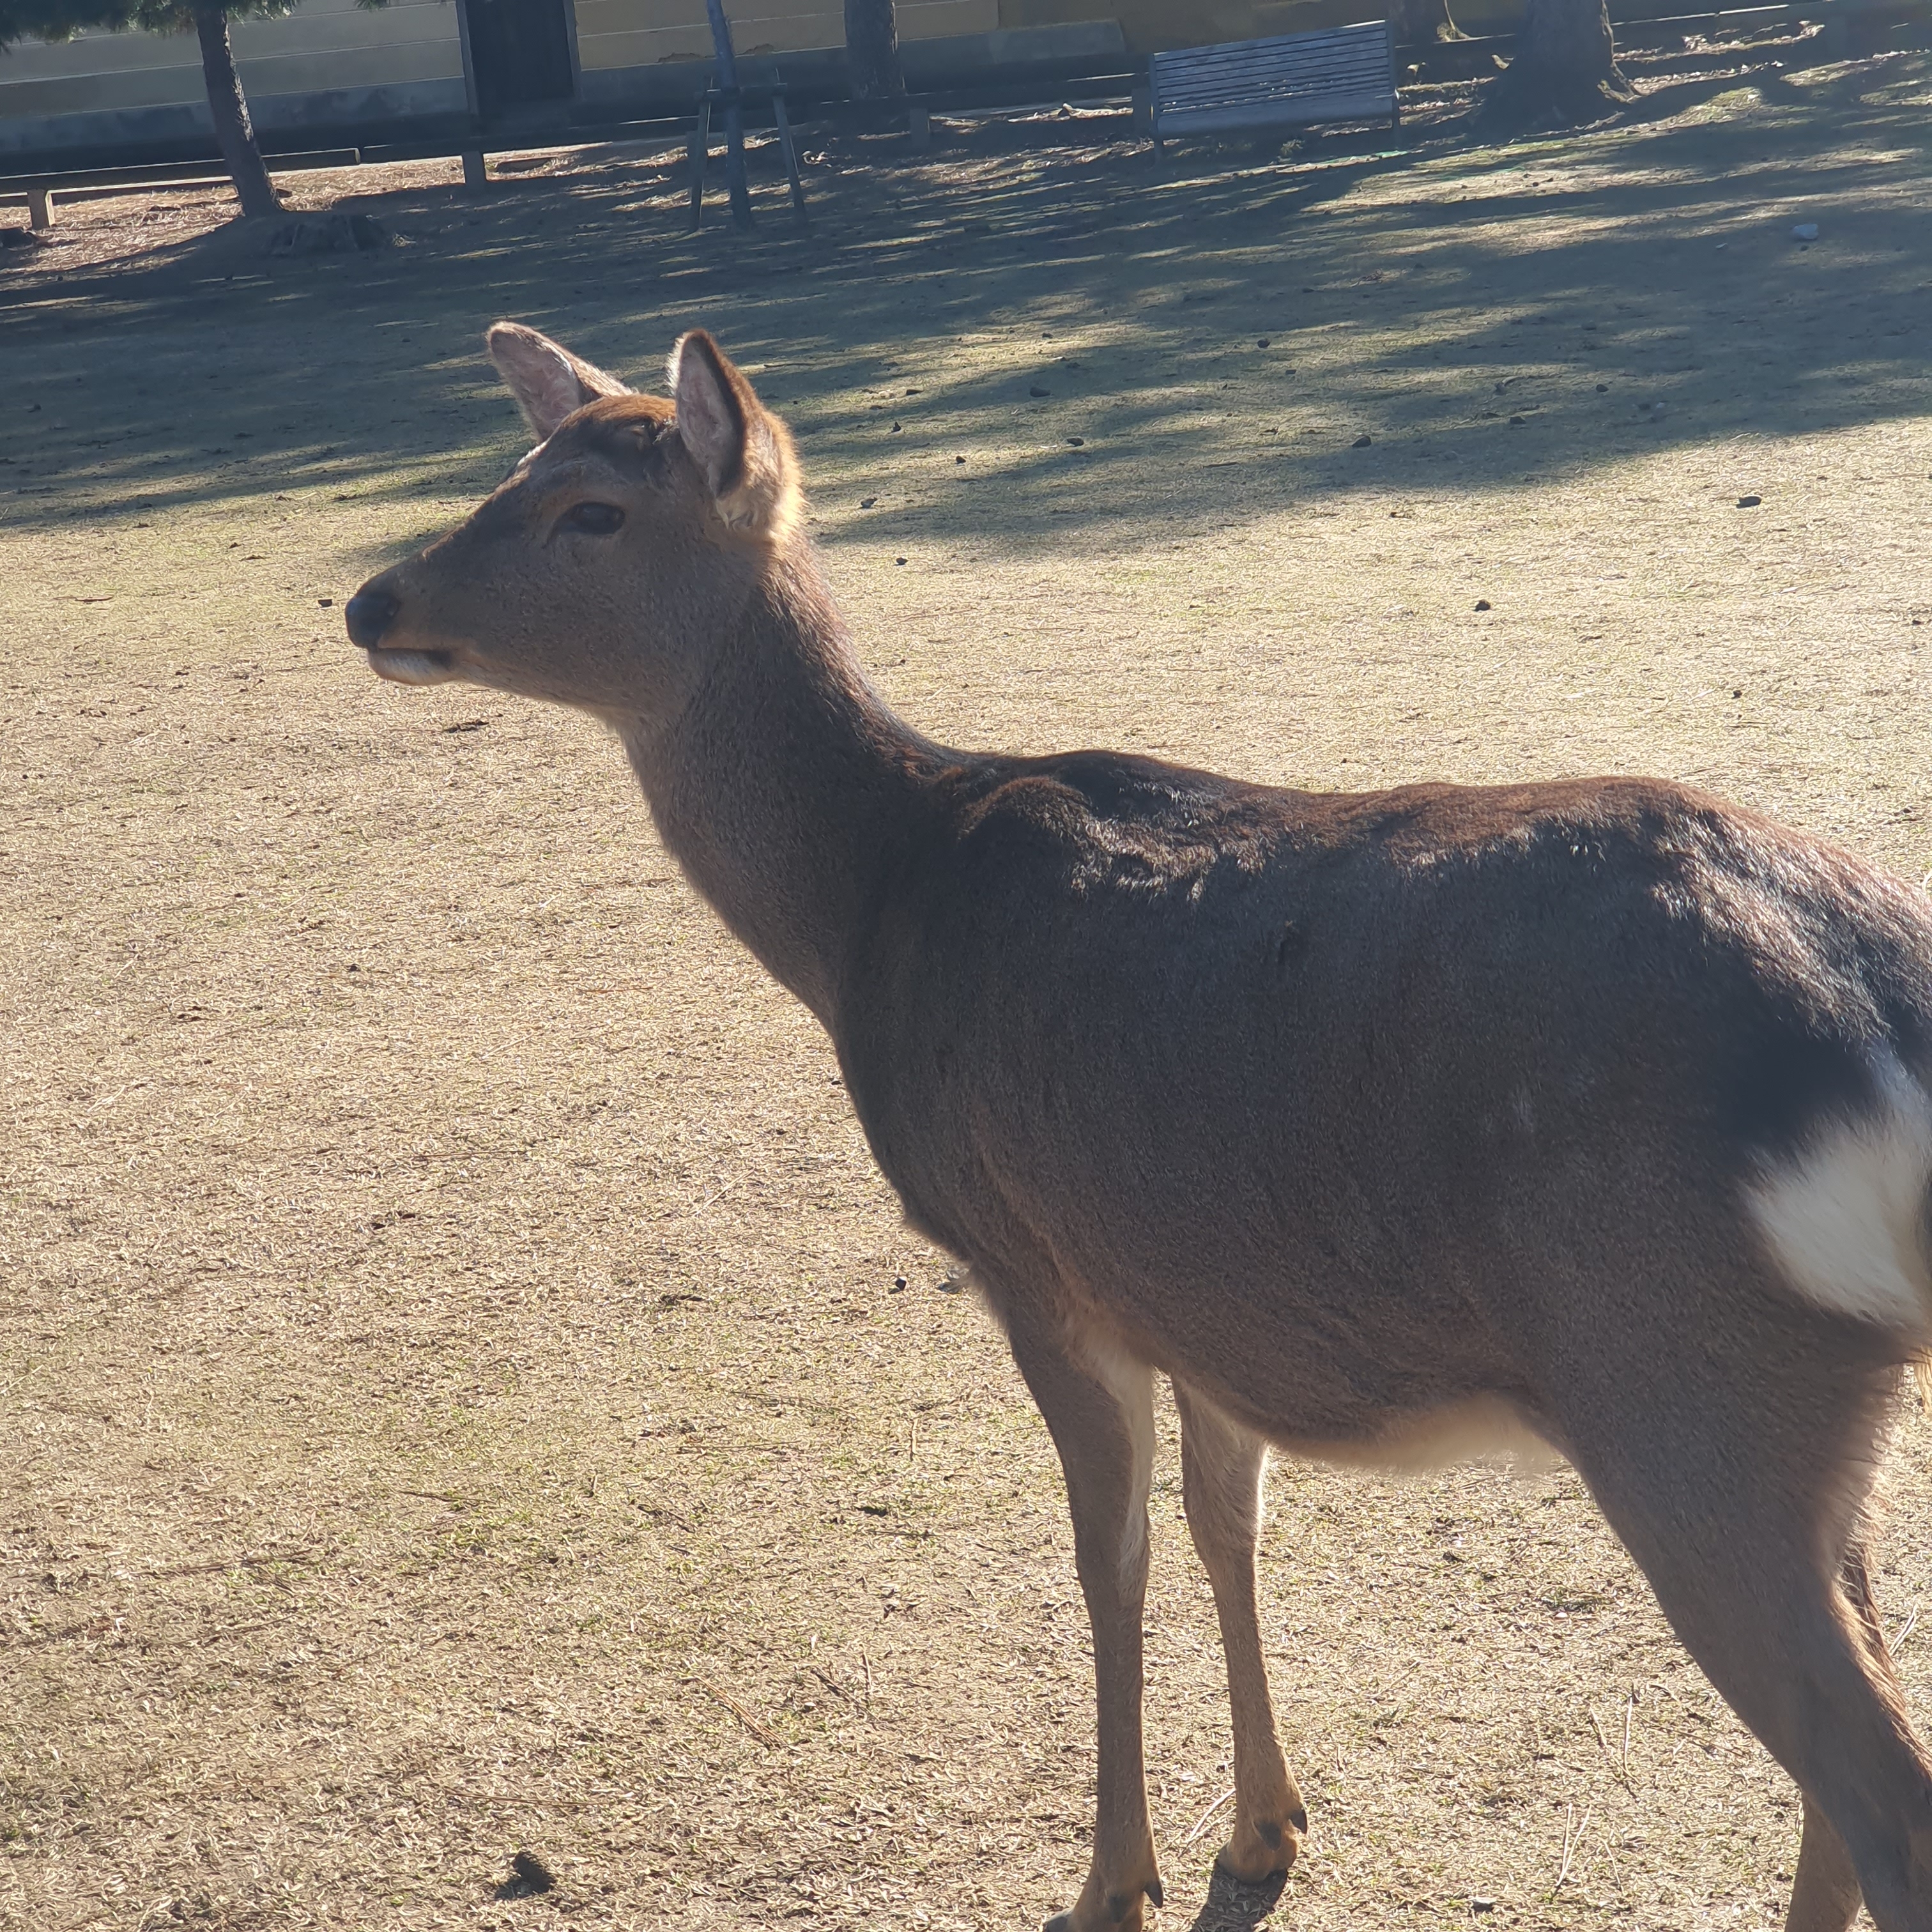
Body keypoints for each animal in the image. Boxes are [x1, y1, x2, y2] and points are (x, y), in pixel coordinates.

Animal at [351, 320, 1932, 1932]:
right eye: (513, 469)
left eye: (592, 512)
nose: (371, 602)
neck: (870, 908)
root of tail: (1882, 1001)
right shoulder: (1200, 1296)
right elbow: (1224, 1521)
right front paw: (1265, 1828)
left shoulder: (1031, 1262)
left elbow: (1105, 1554)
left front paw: (1113, 1876)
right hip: (1825, 1407)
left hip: (1684, 1385)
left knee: (1882, 1791)